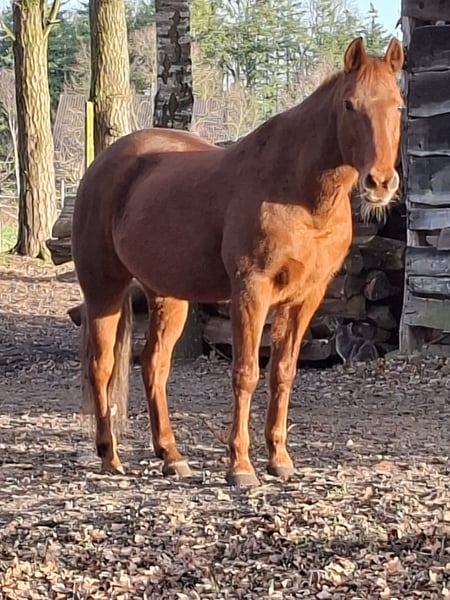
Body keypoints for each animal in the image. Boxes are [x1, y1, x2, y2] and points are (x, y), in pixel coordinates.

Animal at [72, 37, 404, 487]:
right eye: (350, 104)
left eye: (399, 105)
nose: (380, 182)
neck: (296, 191)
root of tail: (103, 163)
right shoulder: (251, 289)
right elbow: (246, 373)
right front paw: (240, 466)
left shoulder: (305, 297)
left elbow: (283, 372)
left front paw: (280, 460)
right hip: (103, 288)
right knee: (102, 366)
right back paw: (110, 456)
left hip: (167, 296)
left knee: (154, 365)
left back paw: (172, 456)